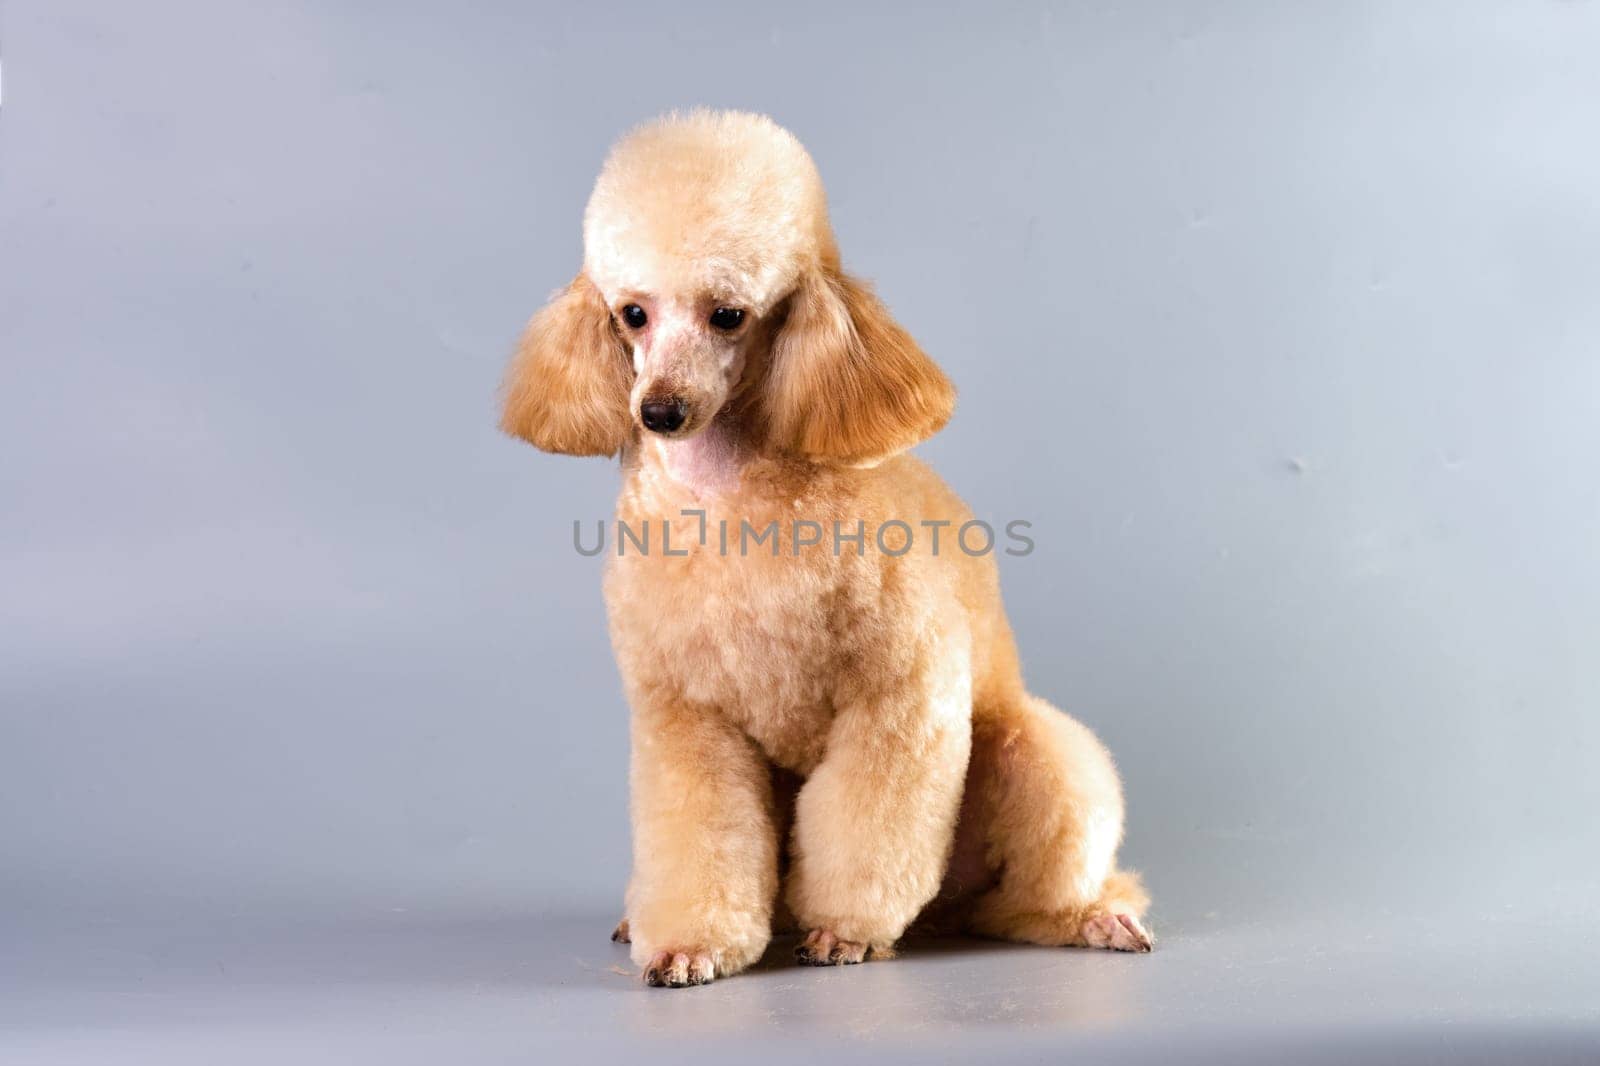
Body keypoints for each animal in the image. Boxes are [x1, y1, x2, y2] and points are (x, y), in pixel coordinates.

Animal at [502, 112, 1152, 985]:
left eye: (728, 315)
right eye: (632, 314)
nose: (660, 411)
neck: (728, 496)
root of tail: (948, 915)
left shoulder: (900, 699)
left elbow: (869, 824)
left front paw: (846, 931)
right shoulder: (685, 716)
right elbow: (700, 831)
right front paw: (690, 941)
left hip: (1036, 760)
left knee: (1031, 895)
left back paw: (1093, 917)